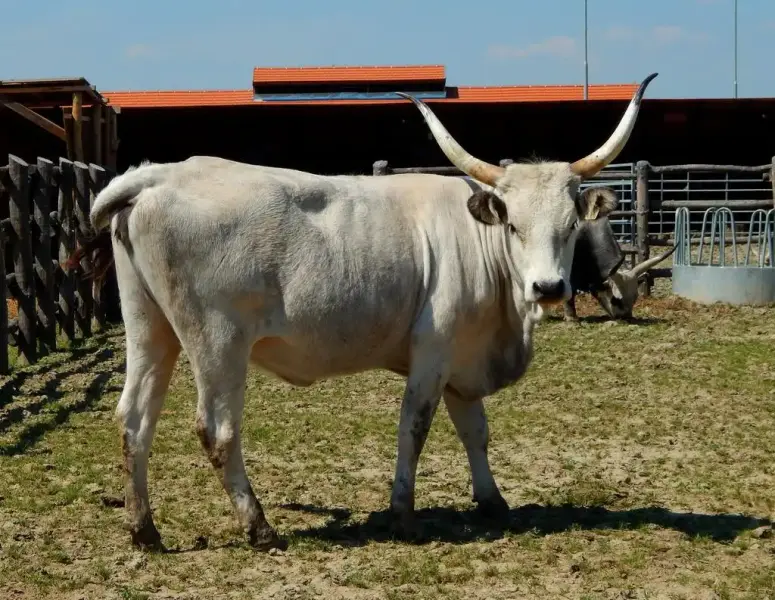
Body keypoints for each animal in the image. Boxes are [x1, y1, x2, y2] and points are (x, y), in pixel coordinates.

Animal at [69, 72, 656, 552]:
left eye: (570, 226)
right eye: (513, 225)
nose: (550, 287)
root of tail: (159, 176)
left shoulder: (463, 360)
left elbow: (475, 430)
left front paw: (492, 501)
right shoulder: (433, 353)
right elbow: (415, 427)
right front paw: (403, 514)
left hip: (150, 328)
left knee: (134, 420)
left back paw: (144, 529)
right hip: (218, 343)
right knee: (217, 430)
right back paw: (259, 527)